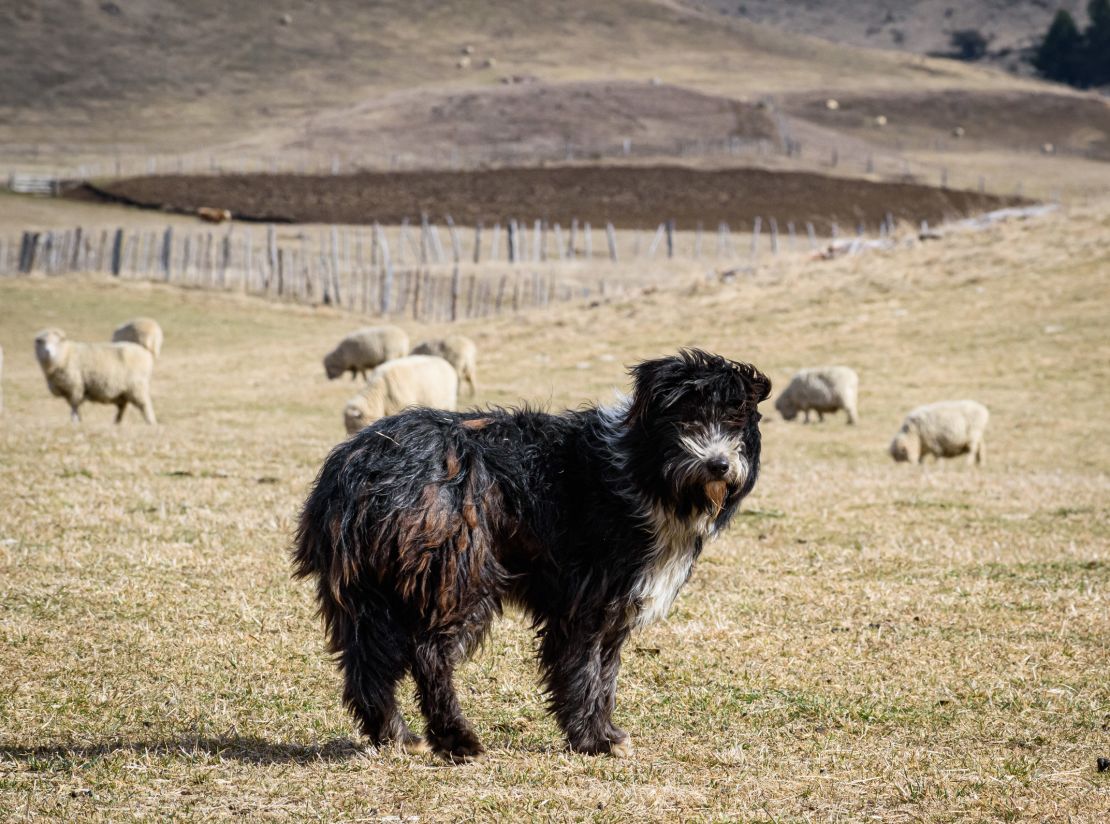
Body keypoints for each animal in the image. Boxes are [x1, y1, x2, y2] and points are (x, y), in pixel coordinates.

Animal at [290, 346, 768, 759]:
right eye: (688, 419)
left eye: (735, 421)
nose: (718, 464)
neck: (642, 473)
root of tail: (356, 467)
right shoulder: (586, 599)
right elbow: (584, 670)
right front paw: (593, 739)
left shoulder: (616, 605)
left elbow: (606, 673)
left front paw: (605, 732)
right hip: (457, 574)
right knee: (429, 656)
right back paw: (456, 738)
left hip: (366, 587)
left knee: (365, 664)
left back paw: (396, 735)